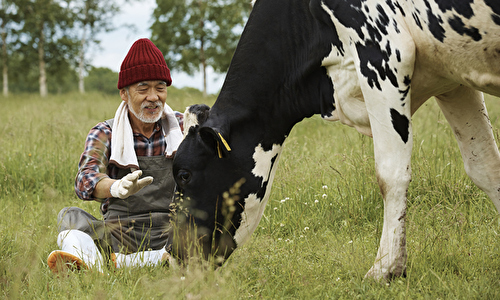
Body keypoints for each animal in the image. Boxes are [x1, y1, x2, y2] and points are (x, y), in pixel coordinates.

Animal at [170, 0, 500, 282]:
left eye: (184, 174)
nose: (174, 254)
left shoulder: (383, 52)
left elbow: (390, 175)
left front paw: (385, 269)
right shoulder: (452, 78)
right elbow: (485, 167)